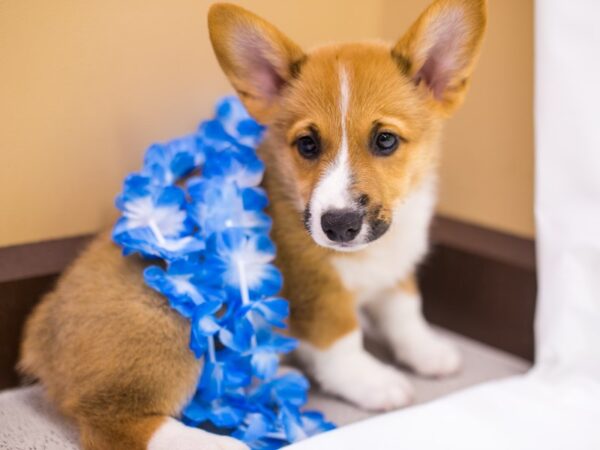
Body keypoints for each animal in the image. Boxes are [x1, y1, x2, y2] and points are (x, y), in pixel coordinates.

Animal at [19, 0, 488, 448]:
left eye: (385, 140)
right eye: (307, 144)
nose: (338, 226)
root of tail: (39, 338)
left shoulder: (395, 269)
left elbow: (404, 309)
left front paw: (427, 351)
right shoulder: (317, 293)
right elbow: (342, 340)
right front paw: (373, 382)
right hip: (163, 323)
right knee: (115, 423)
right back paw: (216, 445)